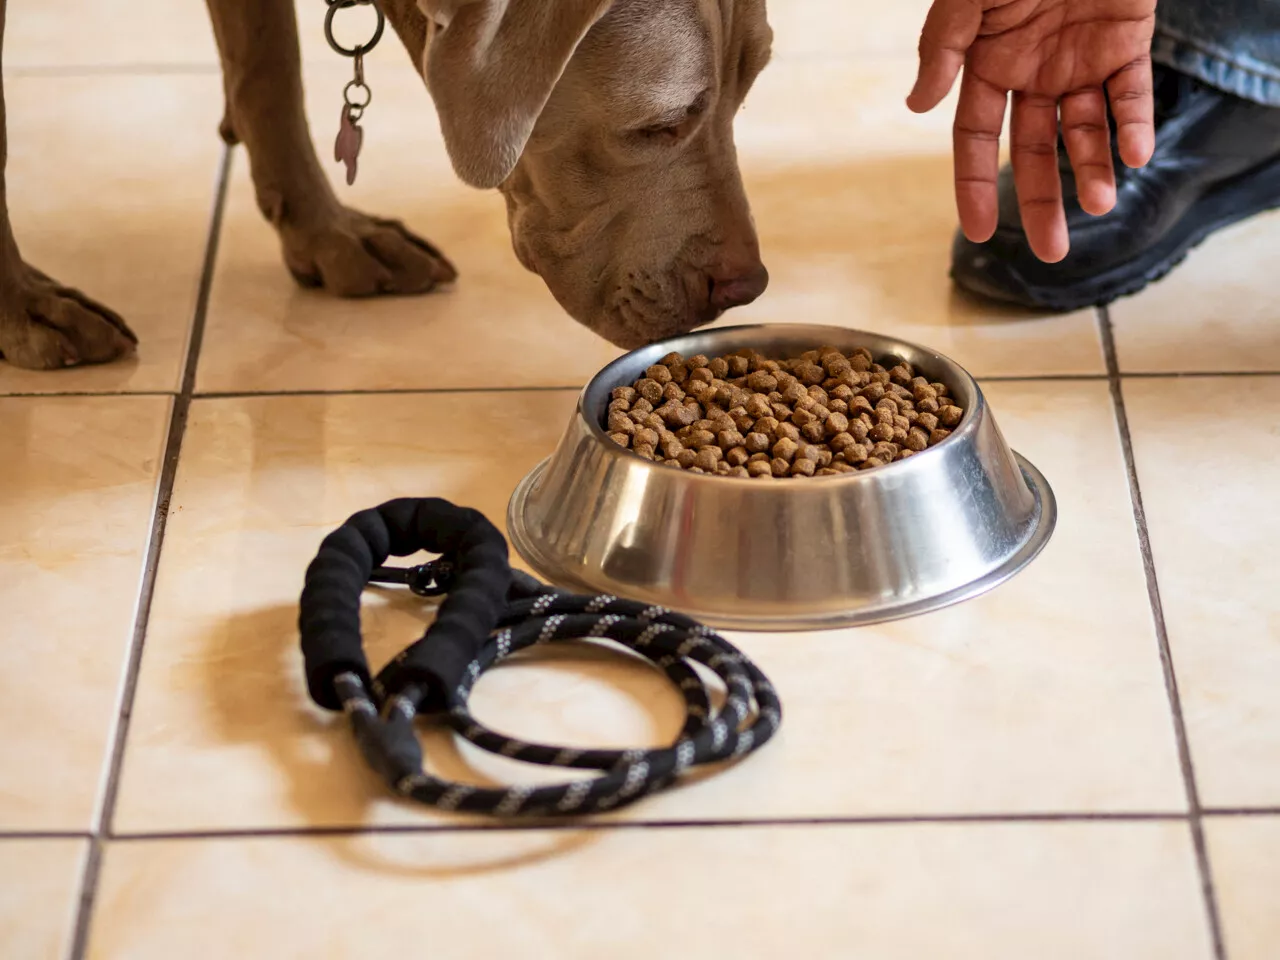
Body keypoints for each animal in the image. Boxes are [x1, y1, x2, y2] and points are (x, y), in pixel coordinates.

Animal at [0, 0, 768, 371]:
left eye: (749, 91)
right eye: (659, 125)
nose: (747, 287)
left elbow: (270, 61)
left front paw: (326, 230)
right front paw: (24, 307)